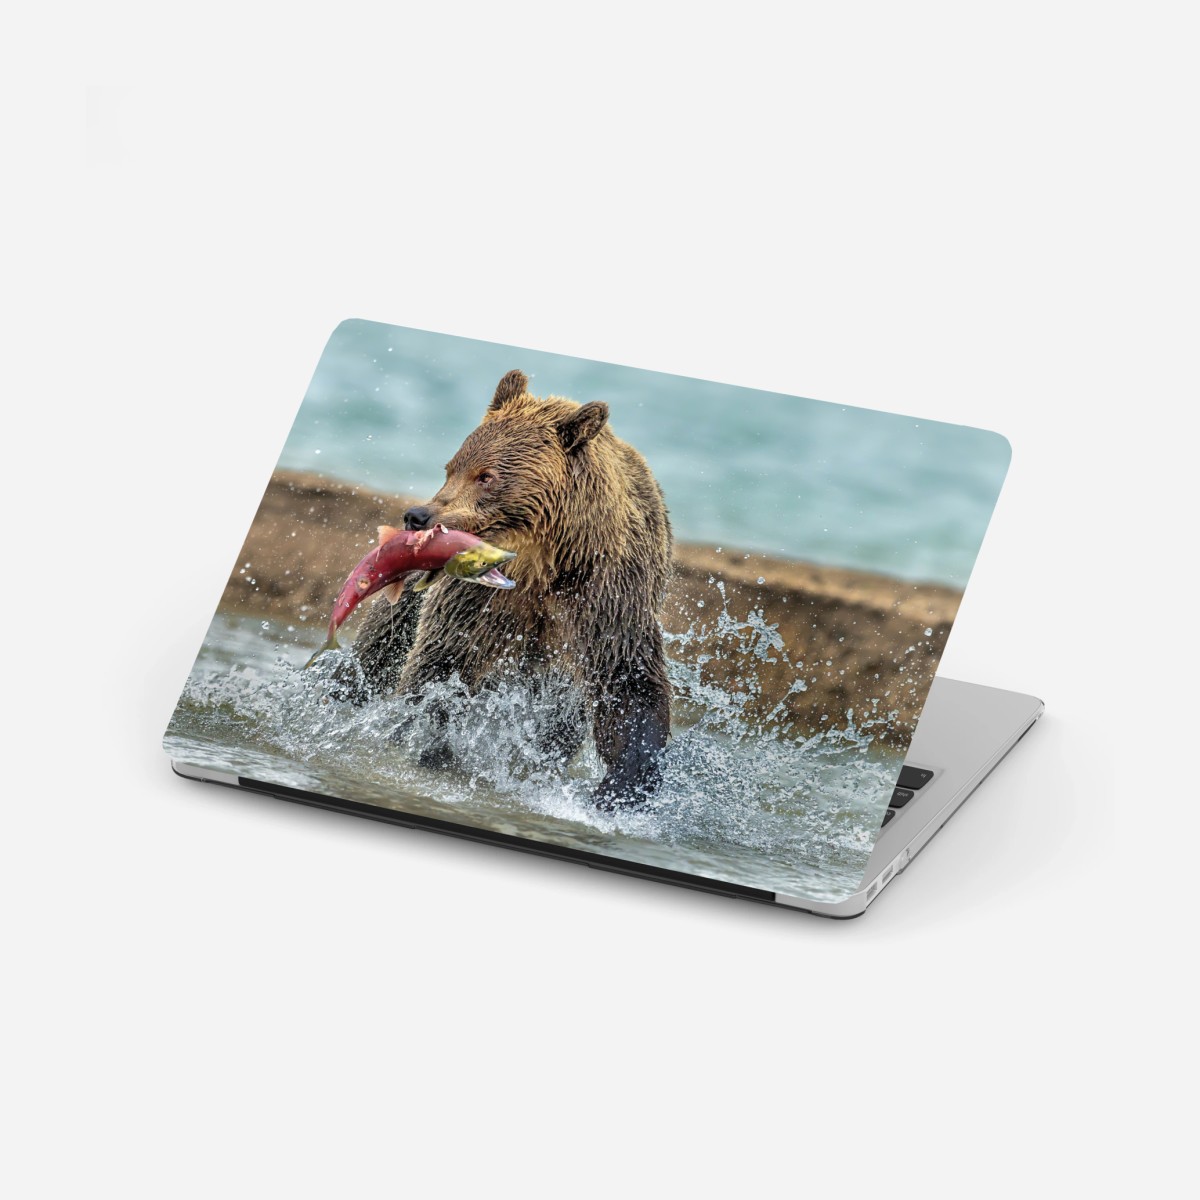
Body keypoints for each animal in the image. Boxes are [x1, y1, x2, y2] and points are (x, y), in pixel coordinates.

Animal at [349, 368, 674, 808]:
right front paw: (424, 738)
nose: (417, 516)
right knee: (376, 650)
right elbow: (440, 663)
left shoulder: (606, 598)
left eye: (486, 476)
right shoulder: (476, 599)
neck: (545, 561)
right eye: (451, 467)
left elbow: (629, 683)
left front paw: (621, 785)